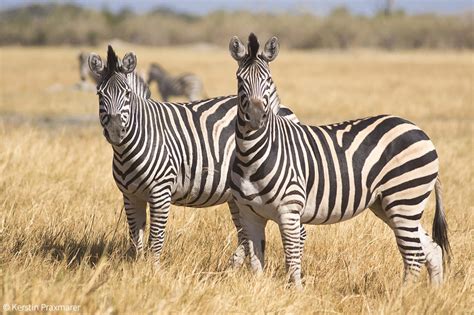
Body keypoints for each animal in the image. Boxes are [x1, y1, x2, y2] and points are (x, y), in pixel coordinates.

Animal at [88, 44, 304, 266]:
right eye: (99, 94)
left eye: (127, 94)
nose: (115, 131)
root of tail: (278, 107)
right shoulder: (130, 195)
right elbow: (135, 239)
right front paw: (137, 267)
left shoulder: (161, 192)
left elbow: (155, 239)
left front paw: (152, 270)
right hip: (238, 195)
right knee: (244, 234)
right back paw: (232, 267)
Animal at [228, 34, 450, 288]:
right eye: (240, 79)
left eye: (268, 79)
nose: (256, 118)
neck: (251, 157)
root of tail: (420, 131)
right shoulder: (249, 214)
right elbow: (256, 263)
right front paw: (259, 290)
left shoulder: (289, 211)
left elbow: (292, 260)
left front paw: (297, 292)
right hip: (388, 204)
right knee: (432, 249)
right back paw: (433, 293)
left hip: (404, 198)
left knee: (413, 255)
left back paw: (403, 295)